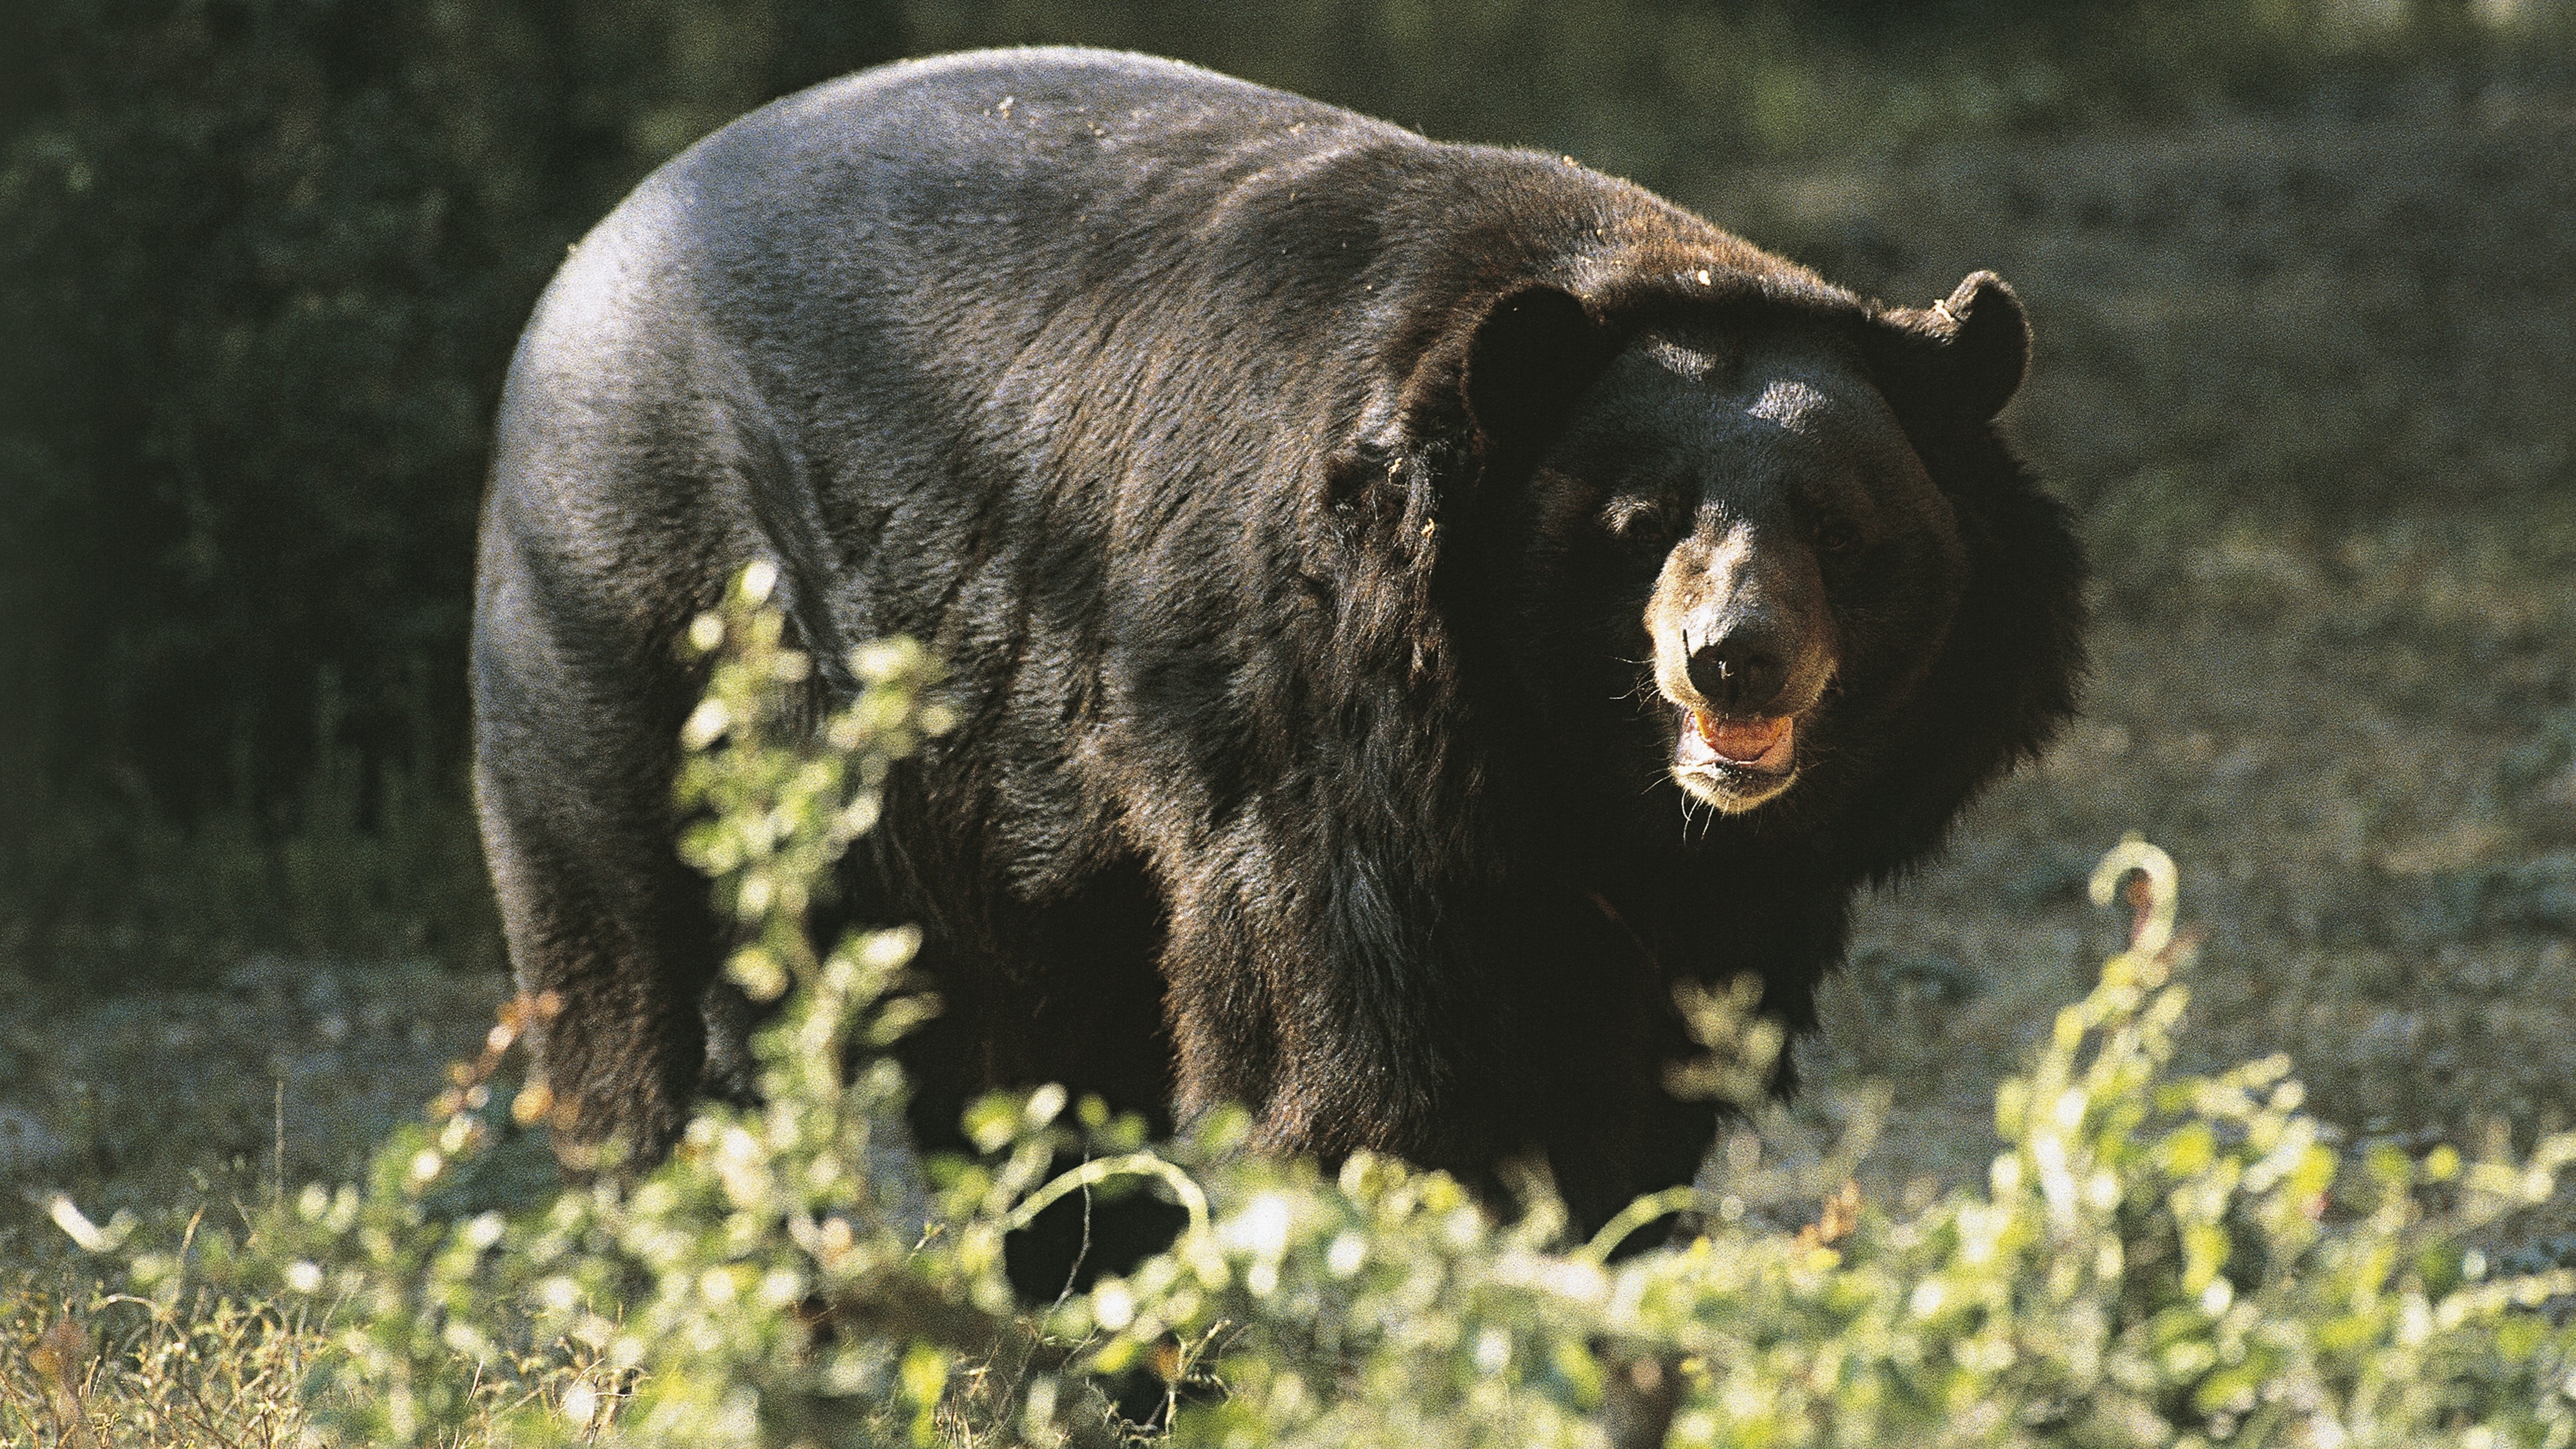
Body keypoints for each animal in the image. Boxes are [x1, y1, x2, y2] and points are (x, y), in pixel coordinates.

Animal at [471, 46, 2085, 1243]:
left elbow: (1639, 1091)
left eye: (1841, 525)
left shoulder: (1717, 891)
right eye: (1638, 524)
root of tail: (584, 256)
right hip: (640, 618)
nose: (1733, 657)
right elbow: (1349, 1059)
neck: (1570, 770)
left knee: (1029, 1062)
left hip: (979, 820)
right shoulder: (1316, 734)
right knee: (637, 977)